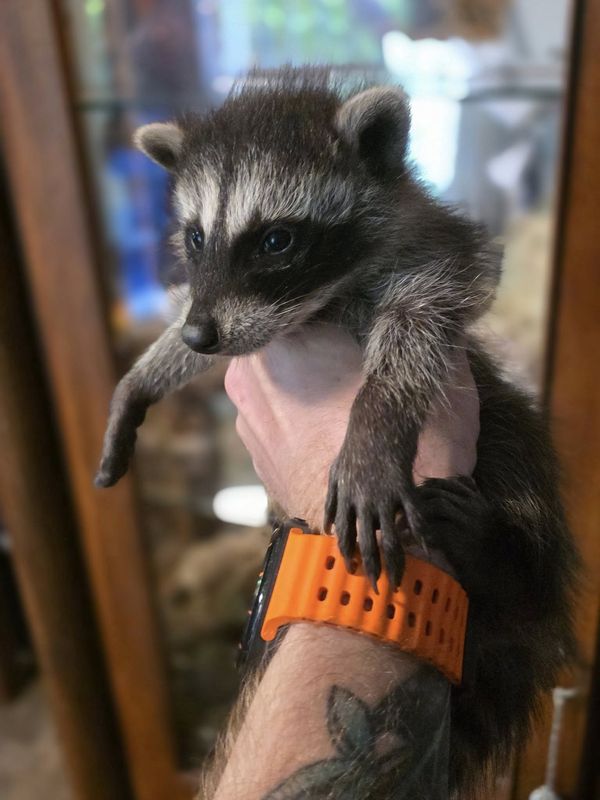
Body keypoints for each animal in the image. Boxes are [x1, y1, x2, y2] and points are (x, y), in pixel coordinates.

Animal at [95, 67, 577, 794]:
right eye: (198, 237)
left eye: (276, 240)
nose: (200, 338)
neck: (313, 307)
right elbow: (193, 317)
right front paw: (143, 377)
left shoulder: (442, 258)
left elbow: (419, 320)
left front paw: (376, 419)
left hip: (503, 431)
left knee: (512, 458)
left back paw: (506, 557)